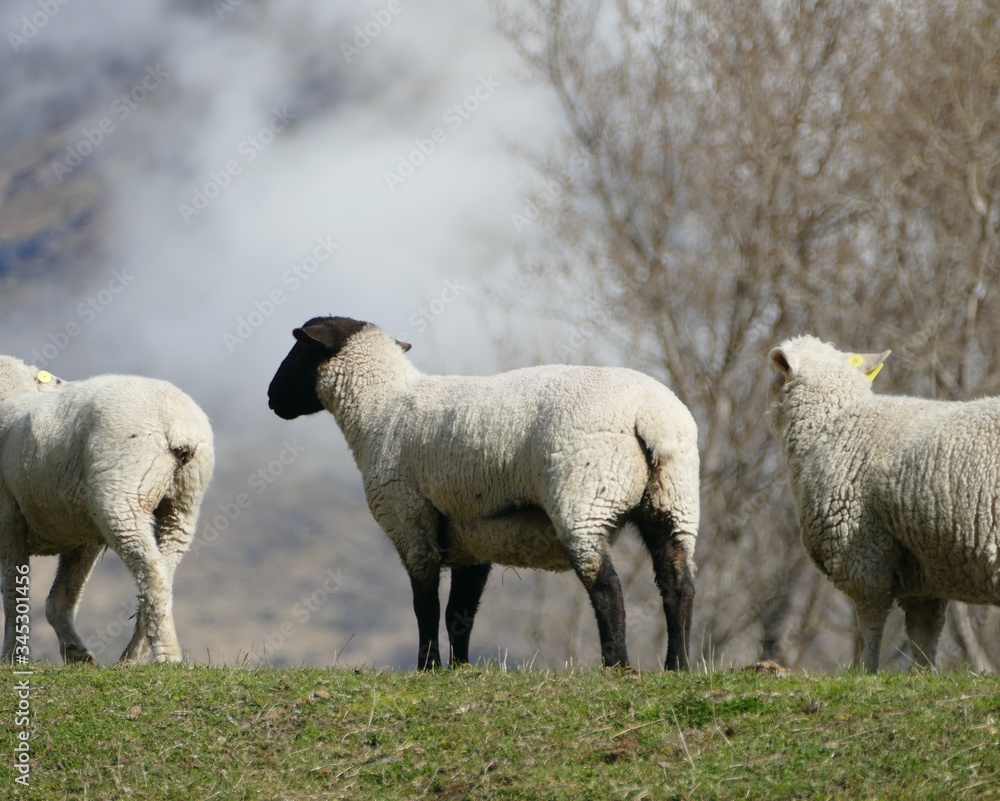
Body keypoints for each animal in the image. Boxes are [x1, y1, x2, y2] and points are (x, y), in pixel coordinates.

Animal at [0, 356, 213, 664]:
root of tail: (177, 421)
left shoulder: (9, 517)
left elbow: (14, 590)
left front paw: (11, 655)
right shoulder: (82, 533)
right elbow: (61, 597)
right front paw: (76, 652)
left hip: (122, 495)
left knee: (151, 570)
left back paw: (166, 654)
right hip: (183, 505)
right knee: (162, 572)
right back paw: (133, 656)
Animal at [270, 312, 700, 668]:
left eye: (297, 347)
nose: (272, 397)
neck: (380, 408)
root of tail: (650, 416)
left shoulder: (410, 520)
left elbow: (425, 605)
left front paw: (428, 667)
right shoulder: (471, 538)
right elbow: (459, 613)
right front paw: (460, 669)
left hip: (584, 498)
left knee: (606, 585)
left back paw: (618, 666)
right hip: (674, 501)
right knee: (678, 583)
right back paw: (677, 666)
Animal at [772, 334, 1000, 672]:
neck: (830, 424)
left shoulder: (860, 553)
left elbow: (870, 624)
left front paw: (866, 672)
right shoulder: (923, 568)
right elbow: (924, 633)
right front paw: (923, 675)